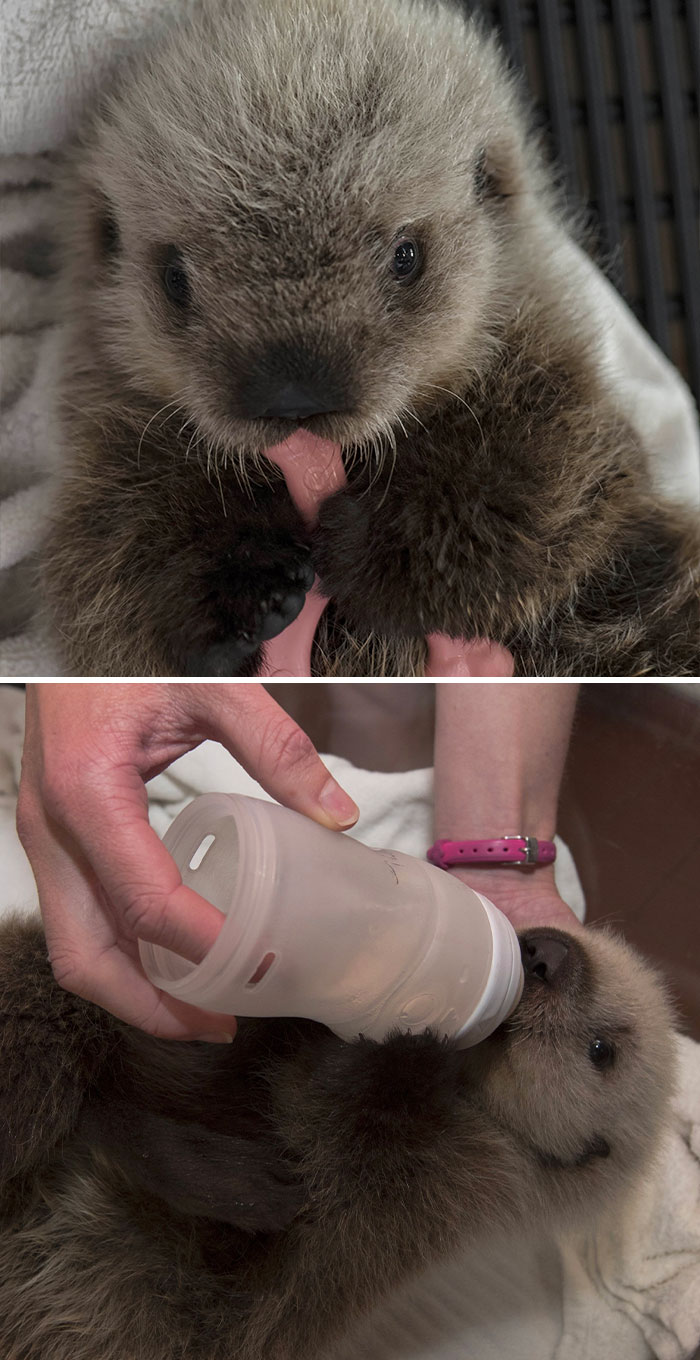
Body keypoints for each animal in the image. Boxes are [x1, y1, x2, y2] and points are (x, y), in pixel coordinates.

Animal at [43, 0, 700, 676]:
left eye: (406, 256)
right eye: (175, 279)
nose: (293, 396)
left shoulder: (552, 382)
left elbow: (536, 474)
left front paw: (370, 547)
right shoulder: (113, 449)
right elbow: (113, 557)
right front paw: (245, 587)